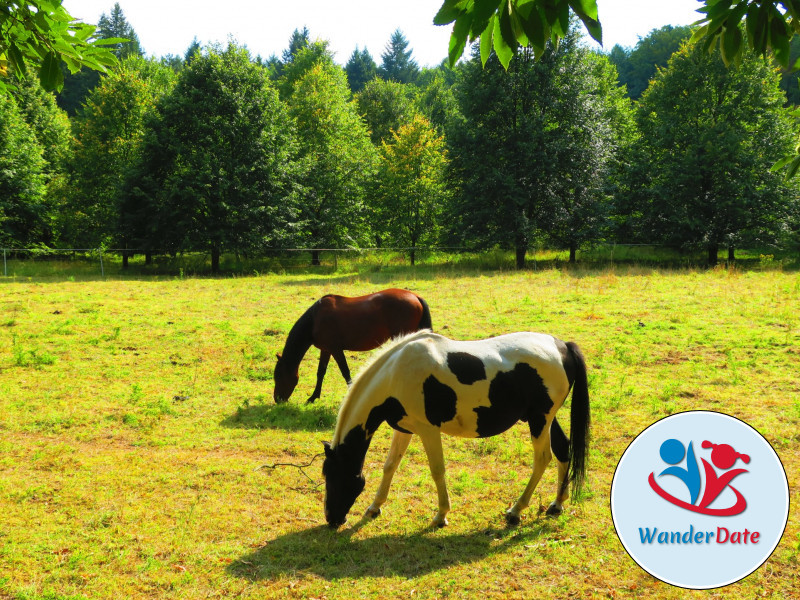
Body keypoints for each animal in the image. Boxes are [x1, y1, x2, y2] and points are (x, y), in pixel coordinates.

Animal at [274, 290, 432, 404]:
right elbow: (321, 373)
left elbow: (345, 372)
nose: (277, 399)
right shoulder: (326, 350)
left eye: (278, 376)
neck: (314, 319)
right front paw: (313, 397)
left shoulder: (336, 350)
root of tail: (415, 296)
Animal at [322, 330, 592, 528]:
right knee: (562, 450)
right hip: (545, 419)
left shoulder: (428, 430)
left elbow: (437, 470)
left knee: (543, 459)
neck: (396, 374)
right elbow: (390, 466)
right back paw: (557, 504)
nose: (332, 519)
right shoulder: (405, 429)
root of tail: (562, 346)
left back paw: (516, 510)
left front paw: (441, 516)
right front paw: (374, 507)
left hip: (539, 420)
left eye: (334, 476)